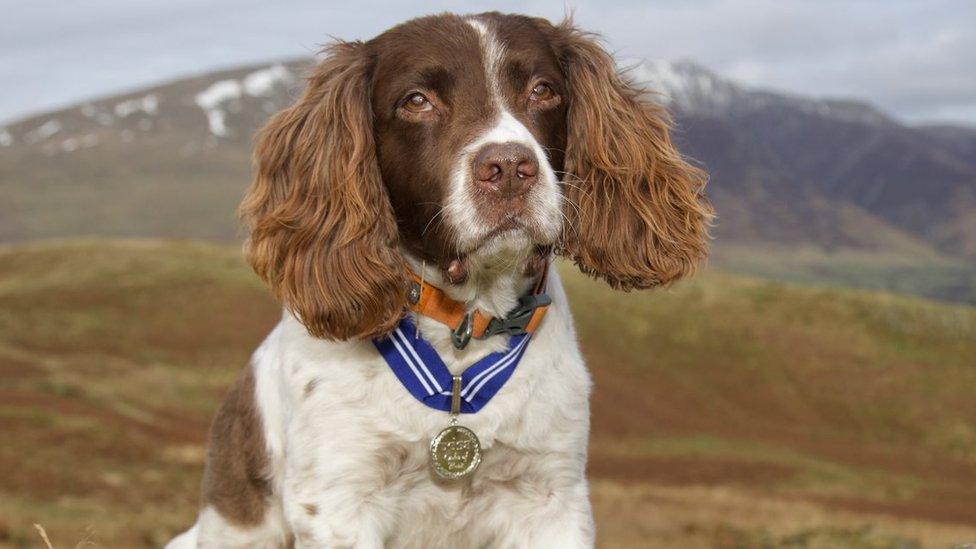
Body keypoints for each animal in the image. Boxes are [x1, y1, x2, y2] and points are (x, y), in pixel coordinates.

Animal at [168, 9, 708, 548]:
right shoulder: (340, 499)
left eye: (542, 91)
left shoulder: (551, 496)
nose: (510, 168)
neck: (461, 335)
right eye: (417, 101)